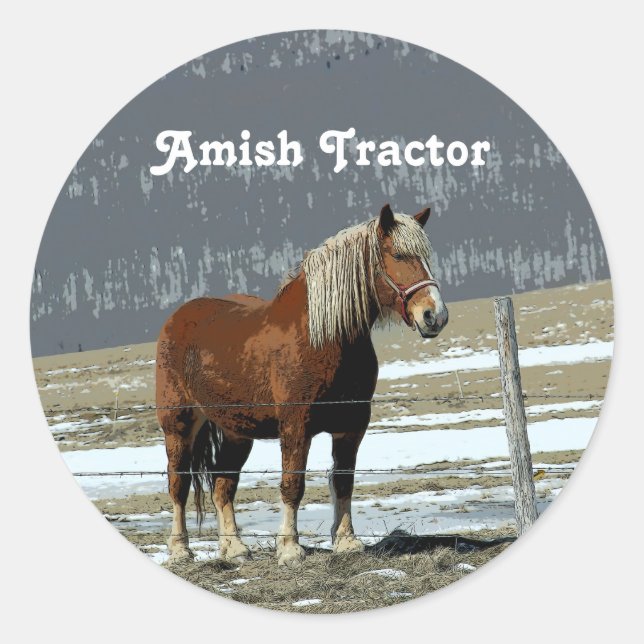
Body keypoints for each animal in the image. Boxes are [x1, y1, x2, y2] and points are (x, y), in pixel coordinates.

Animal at [156, 203, 448, 566]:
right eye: (397, 254)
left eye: (426, 257)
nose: (435, 316)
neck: (322, 338)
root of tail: (178, 317)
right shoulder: (296, 426)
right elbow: (292, 484)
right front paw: (290, 549)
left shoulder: (352, 426)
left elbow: (344, 482)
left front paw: (346, 542)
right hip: (179, 424)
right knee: (178, 484)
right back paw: (180, 549)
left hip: (237, 431)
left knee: (224, 484)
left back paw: (234, 548)